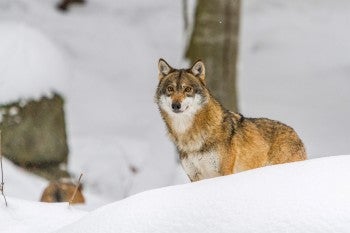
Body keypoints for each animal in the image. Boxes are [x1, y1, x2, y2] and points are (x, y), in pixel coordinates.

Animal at [155, 58, 306, 182]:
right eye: (170, 89)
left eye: (187, 89)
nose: (176, 105)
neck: (191, 136)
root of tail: (296, 135)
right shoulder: (194, 177)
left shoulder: (225, 172)